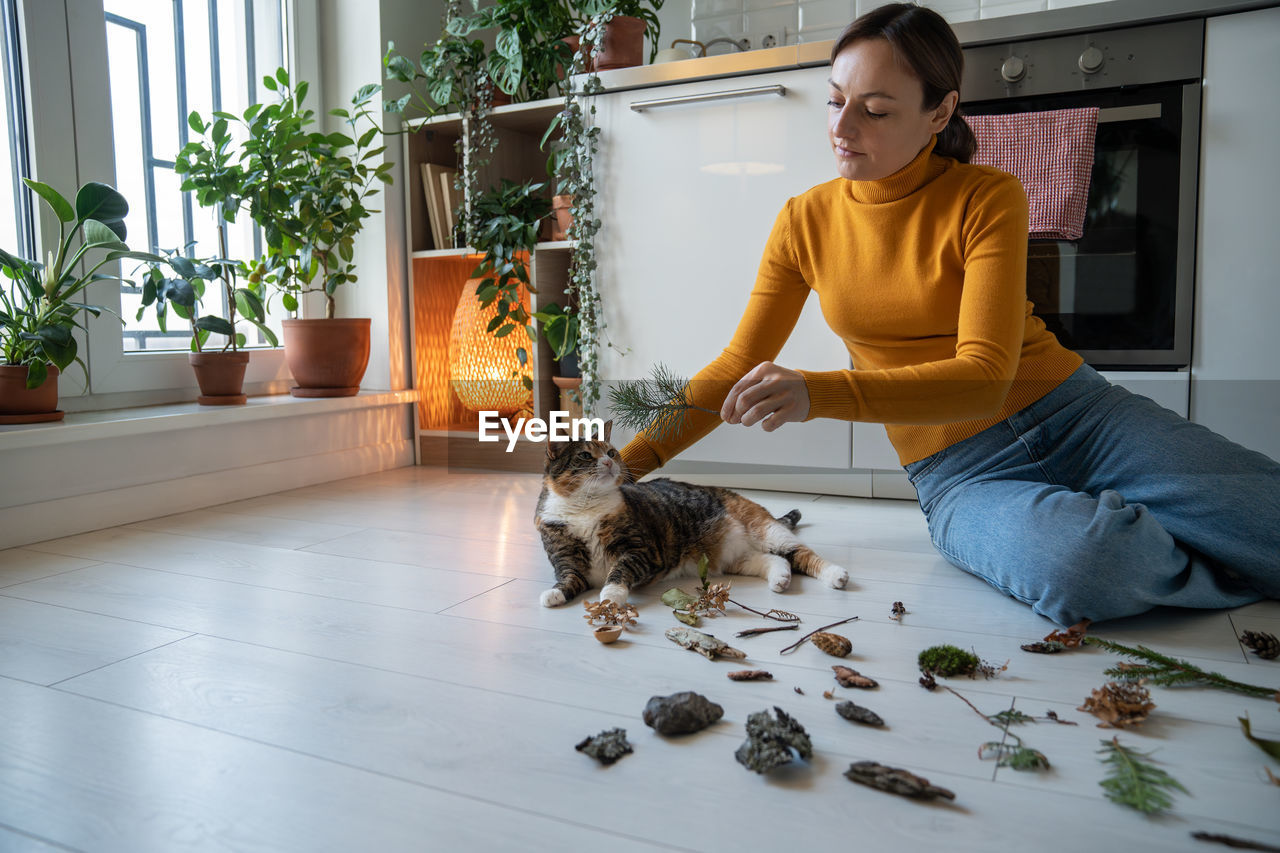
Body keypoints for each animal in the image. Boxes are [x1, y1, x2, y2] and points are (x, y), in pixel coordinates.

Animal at [532, 420, 849, 604]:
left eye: (610, 452)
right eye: (586, 456)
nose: (610, 463)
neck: (585, 507)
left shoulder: (641, 551)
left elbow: (619, 571)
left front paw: (610, 595)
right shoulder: (567, 561)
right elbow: (568, 579)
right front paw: (553, 594)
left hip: (766, 530)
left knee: (801, 554)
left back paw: (836, 575)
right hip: (737, 558)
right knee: (774, 560)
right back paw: (780, 580)